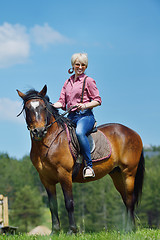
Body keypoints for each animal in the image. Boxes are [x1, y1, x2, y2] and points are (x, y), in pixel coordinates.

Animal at [16, 85, 145, 233]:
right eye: (27, 108)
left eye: (43, 107)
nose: (39, 131)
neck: (50, 141)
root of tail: (133, 133)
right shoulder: (45, 179)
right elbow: (52, 205)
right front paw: (55, 231)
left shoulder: (64, 174)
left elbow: (69, 202)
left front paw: (72, 230)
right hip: (117, 174)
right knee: (126, 199)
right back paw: (129, 229)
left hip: (128, 172)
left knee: (130, 199)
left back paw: (129, 229)